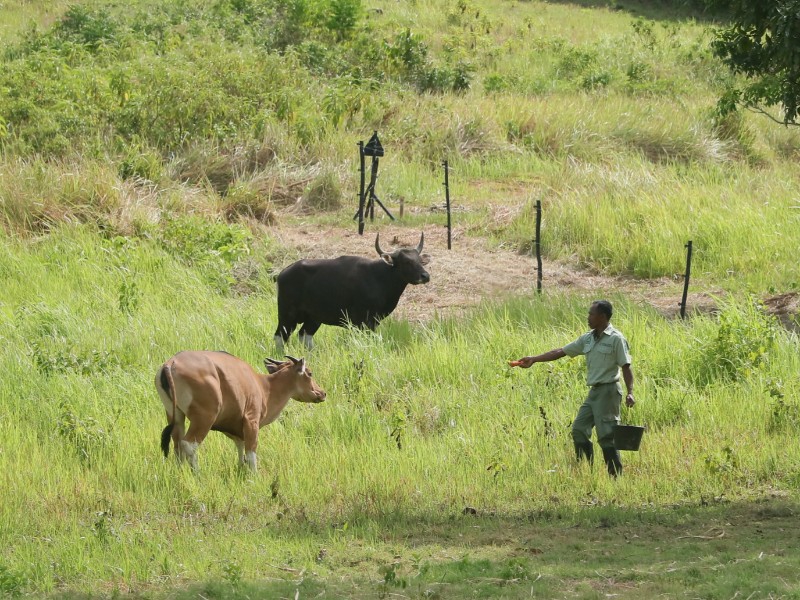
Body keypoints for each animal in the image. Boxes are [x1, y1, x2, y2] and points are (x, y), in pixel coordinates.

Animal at [156, 352, 324, 474]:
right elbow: (251, 450)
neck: (264, 387)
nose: (322, 393)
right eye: (310, 373)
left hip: (175, 416)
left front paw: (241, 469)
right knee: (188, 443)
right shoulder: (251, 421)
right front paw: (254, 475)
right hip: (204, 418)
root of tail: (170, 364)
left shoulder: (236, 427)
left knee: (177, 443)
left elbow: (240, 446)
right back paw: (197, 473)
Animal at [274, 232, 432, 350]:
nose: (425, 276)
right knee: (280, 336)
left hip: (313, 318)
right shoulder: (364, 322)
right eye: (406, 262)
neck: (379, 278)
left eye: (419, 260)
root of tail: (282, 273)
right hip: (286, 315)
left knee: (304, 335)